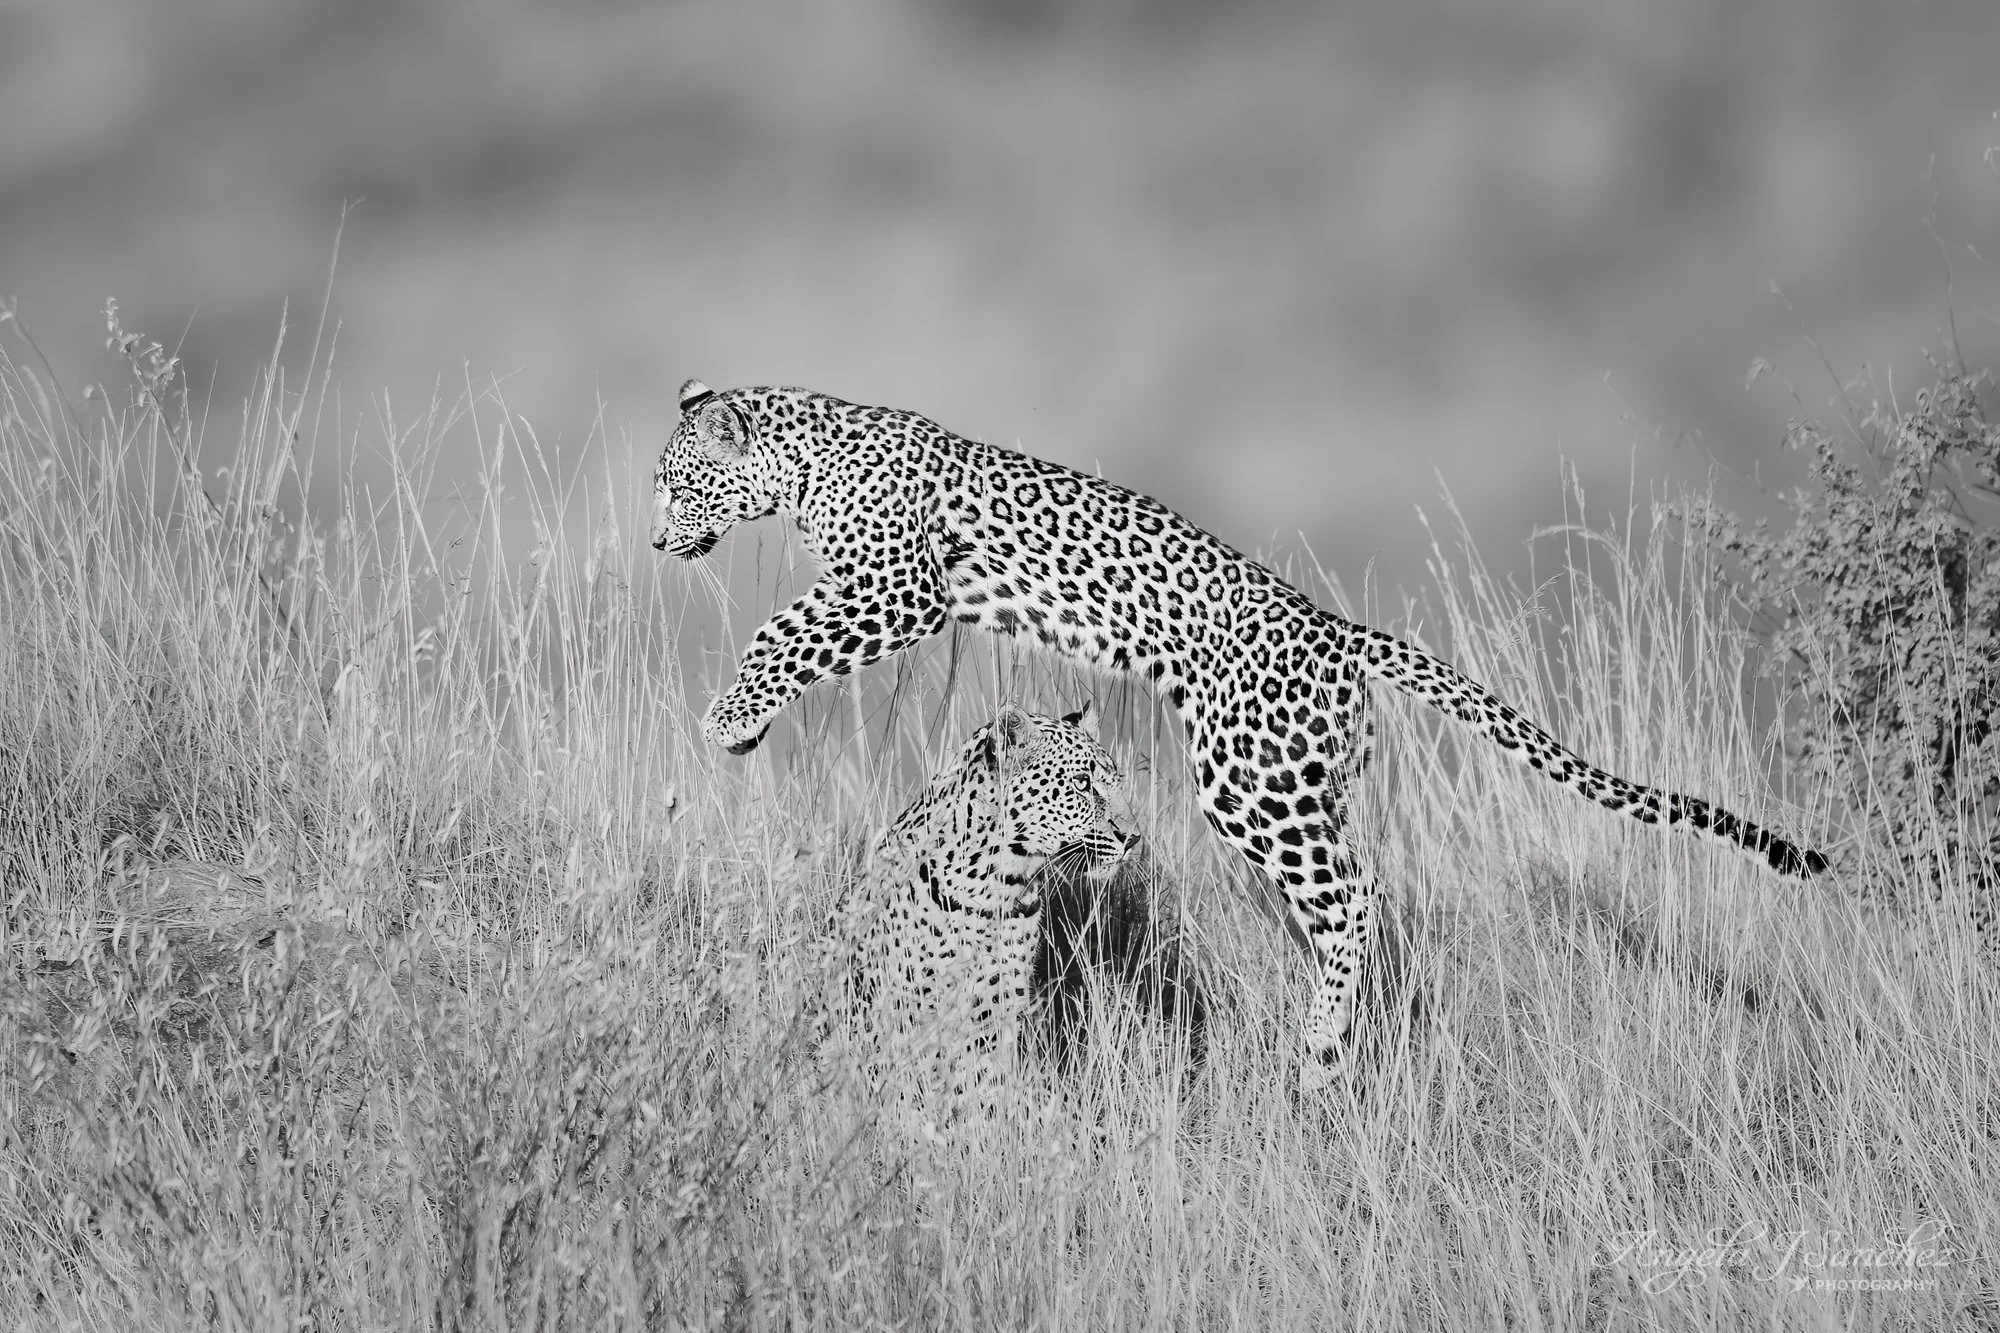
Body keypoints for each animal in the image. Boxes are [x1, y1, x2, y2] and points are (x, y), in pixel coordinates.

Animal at [844, 701, 1138, 1093]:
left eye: (1117, 782)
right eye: (1081, 784)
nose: (1134, 837)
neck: (1003, 884)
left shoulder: (998, 1010)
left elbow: (986, 1086)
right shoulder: (903, 1007)